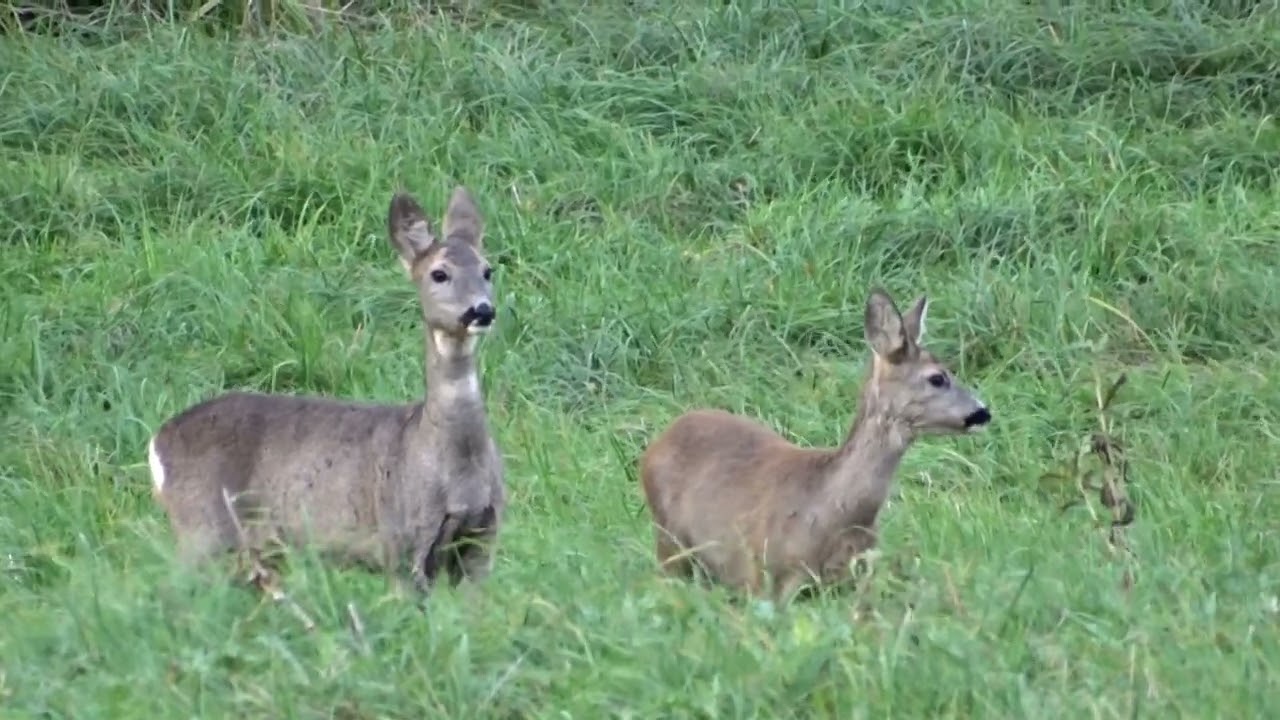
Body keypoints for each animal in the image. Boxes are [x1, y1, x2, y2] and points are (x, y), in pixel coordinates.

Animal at [146, 186, 506, 597]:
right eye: (439, 273)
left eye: (487, 270)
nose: (481, 310)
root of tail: (156, 443)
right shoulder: (401, 539)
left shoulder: (483, 538)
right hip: (201, 526)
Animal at [639, 288, 992, 603]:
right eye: (937, 378)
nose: (982, 412)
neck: (832, 510)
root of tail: (657, 443)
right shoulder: (768, 575)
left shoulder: (855, 576)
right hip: (669, 540)